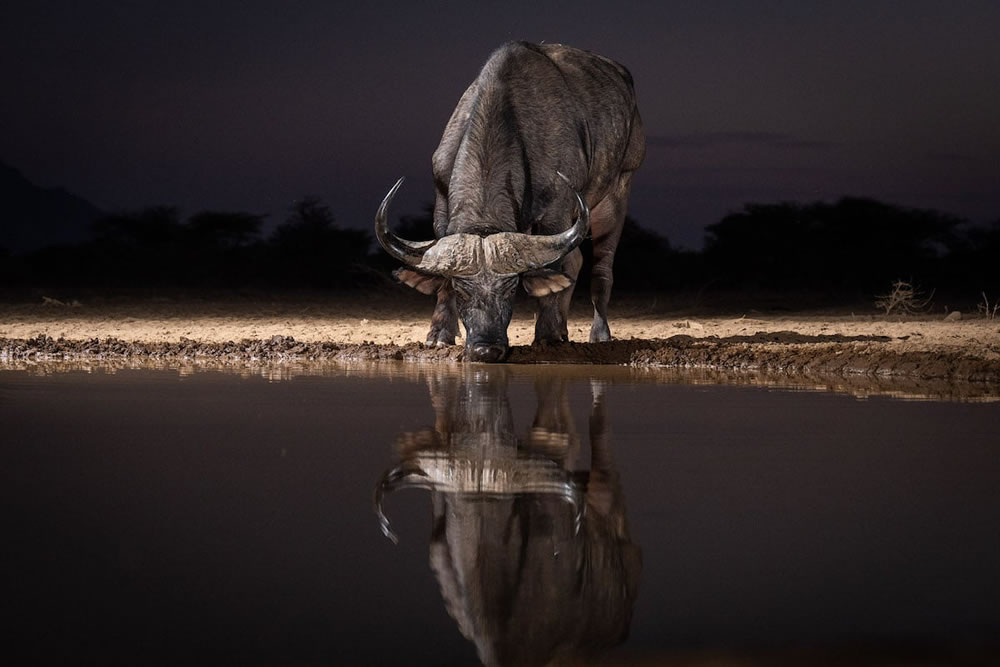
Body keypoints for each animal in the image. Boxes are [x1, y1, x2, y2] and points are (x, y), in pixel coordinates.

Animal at [376, 41, 648, 362]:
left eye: (510, 288)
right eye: (462, 289)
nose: (487, 349)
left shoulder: (556, 213)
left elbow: (557, 271)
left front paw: (547, 336)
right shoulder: (441, 204)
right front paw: (438, 335)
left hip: (617, 191)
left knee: (600, 268)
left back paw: (599, 334)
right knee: (575, 261)